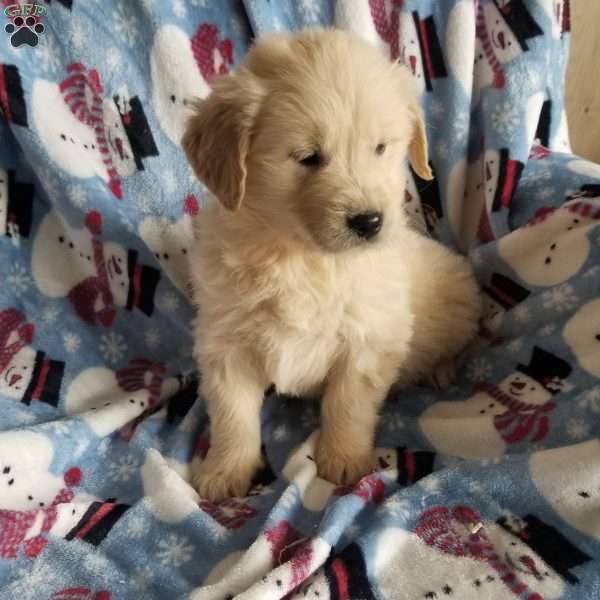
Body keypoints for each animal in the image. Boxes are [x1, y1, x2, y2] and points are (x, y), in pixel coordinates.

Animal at [183, 29, 482, 502]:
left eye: (380, 148)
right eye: (308, 156)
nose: (370, 221)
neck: (300, 257)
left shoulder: (368, 339)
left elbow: (348, 403)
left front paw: (343, 459)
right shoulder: (225, 342)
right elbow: (232, 415)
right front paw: (224, 471)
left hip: (461, 298)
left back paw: (441, 369)